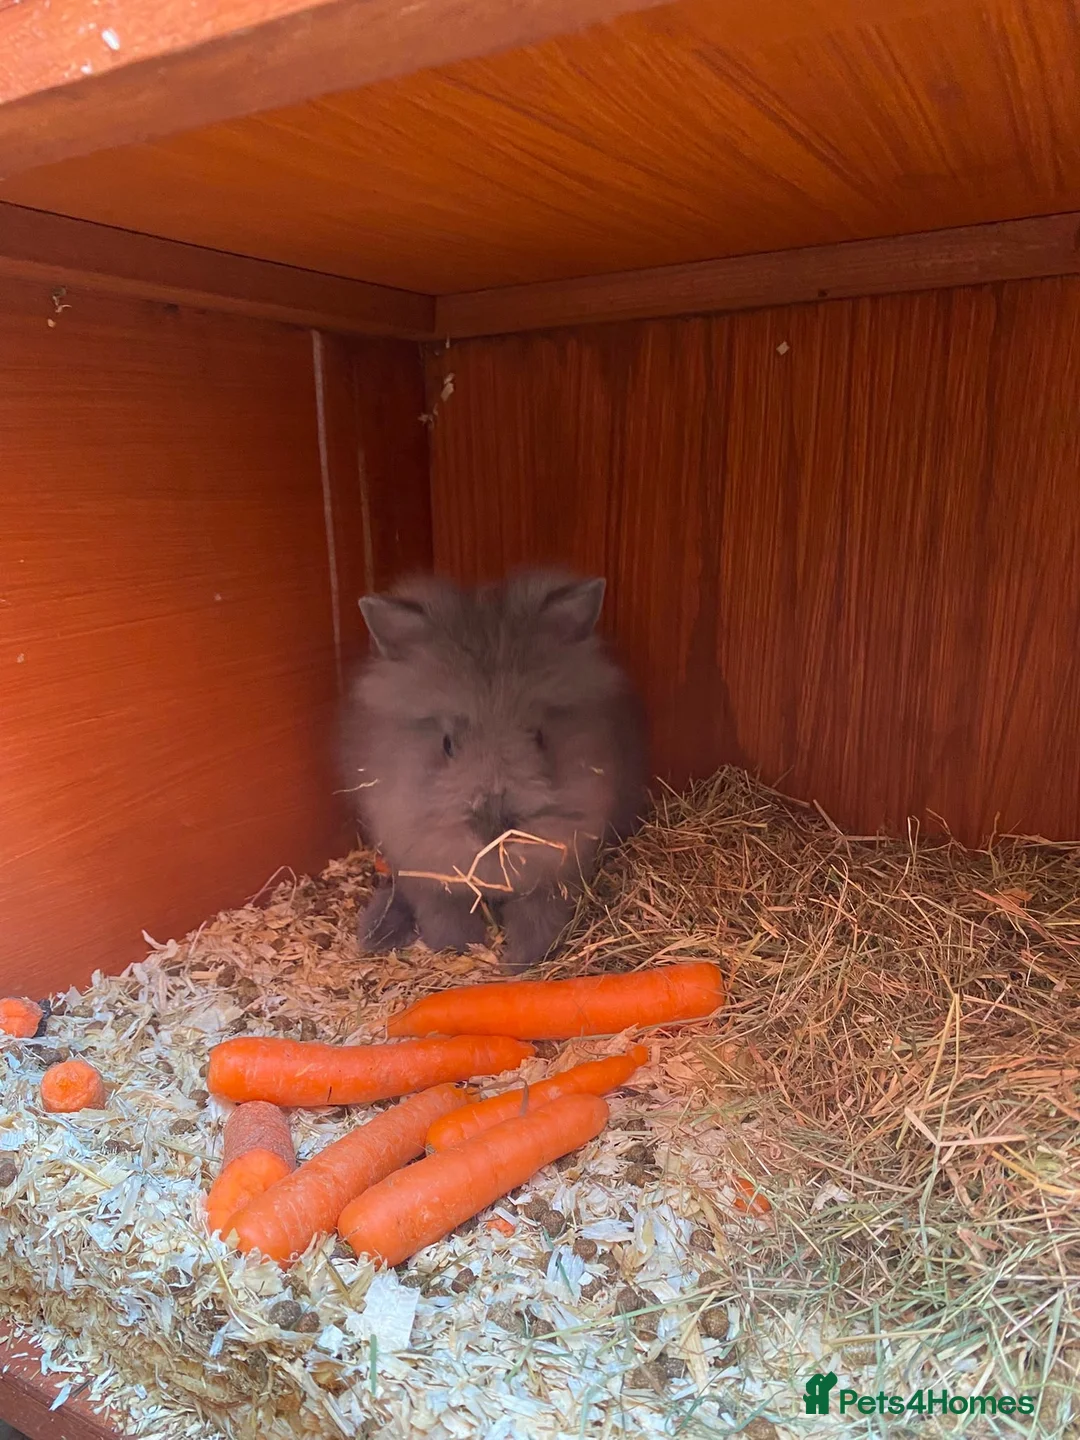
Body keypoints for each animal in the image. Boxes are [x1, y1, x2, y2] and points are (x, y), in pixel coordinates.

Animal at [340, 568, 647, 972]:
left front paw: (519, 962)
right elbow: (445, 915)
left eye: (539, 736)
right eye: (447, 744)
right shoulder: (426, 872)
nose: (495, 826)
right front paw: (461, 950)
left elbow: (538, 919)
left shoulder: (555, 874)